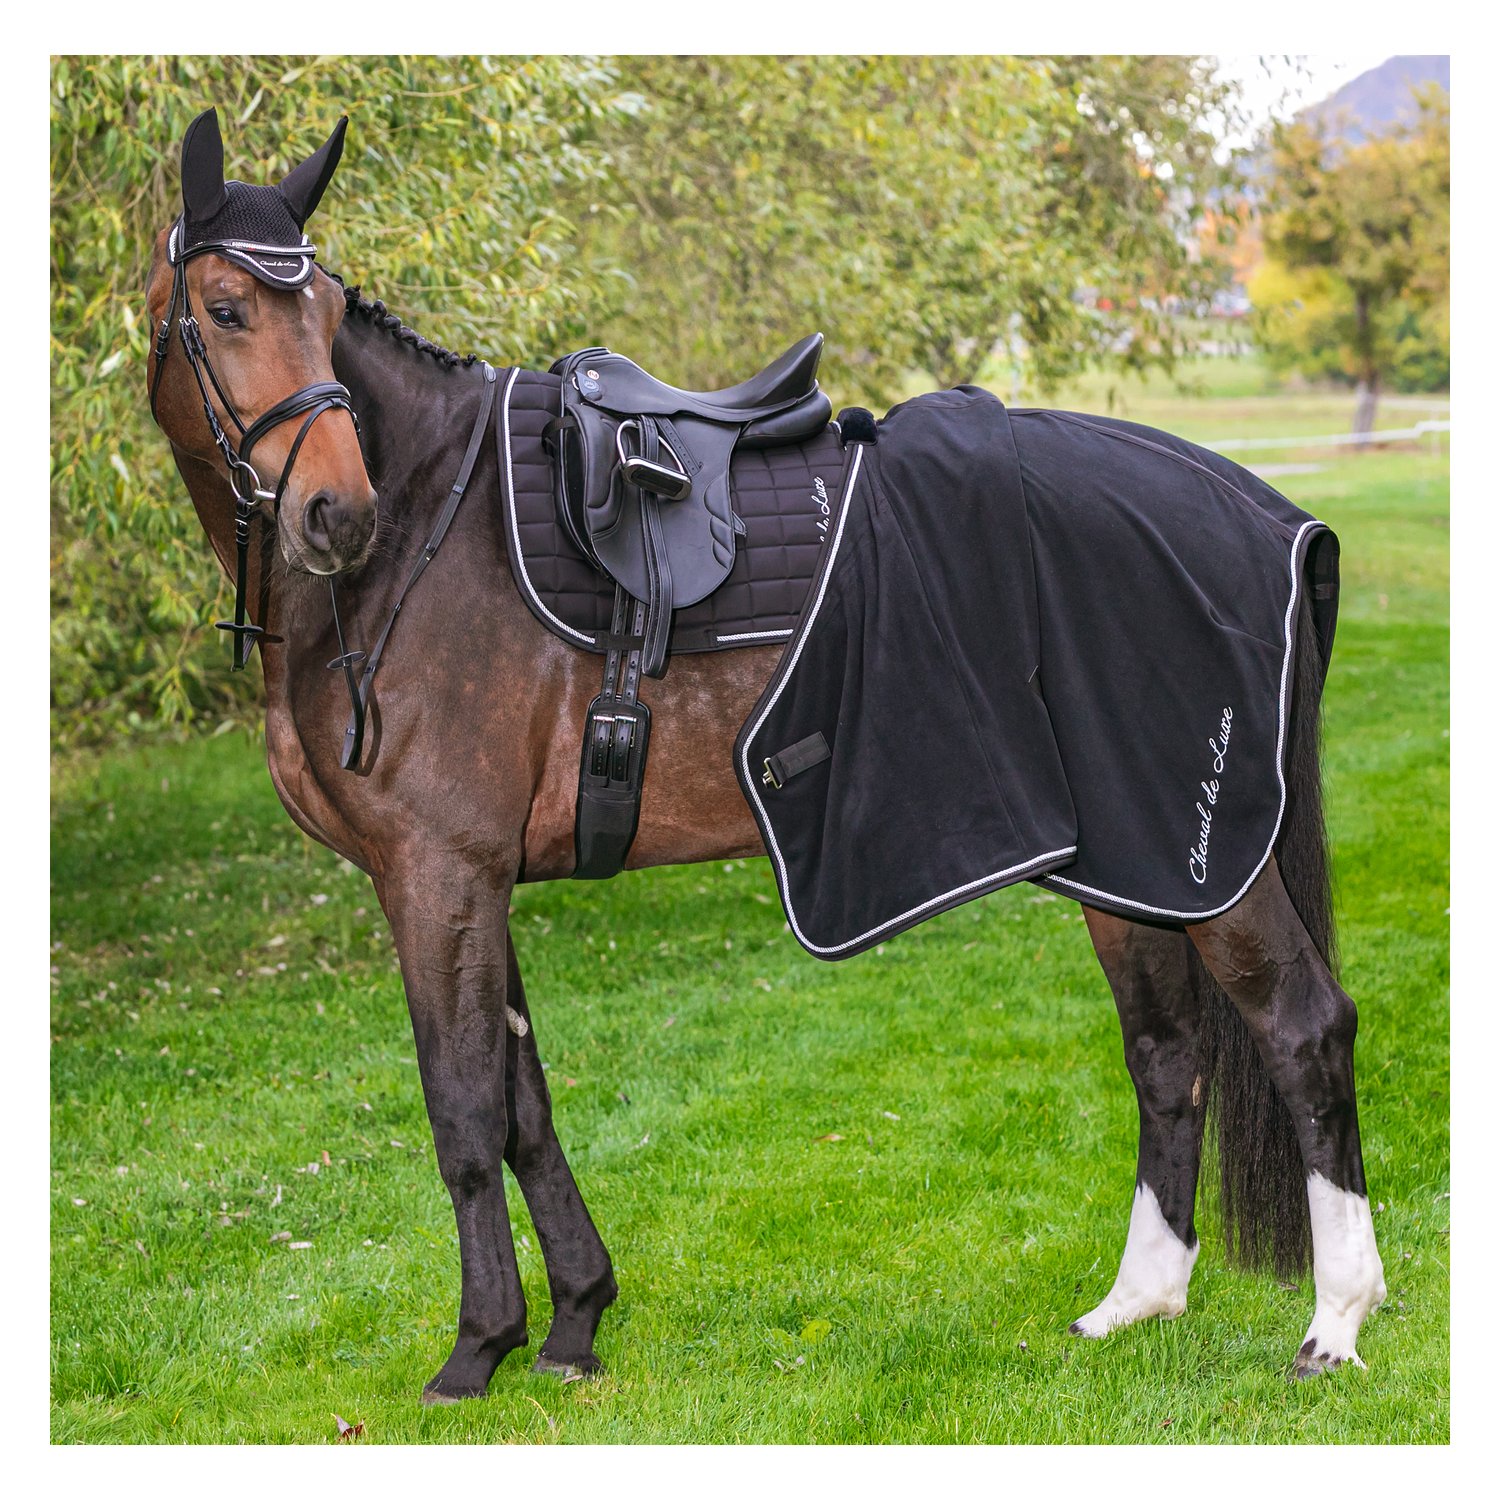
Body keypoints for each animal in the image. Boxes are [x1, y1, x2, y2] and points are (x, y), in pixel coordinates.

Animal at [143, 108, 1386, 1404]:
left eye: (325, 307)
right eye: (226, 307)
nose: (338, 512)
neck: (432, 527)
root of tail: (1265, 512)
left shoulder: (438, 873)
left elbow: (466, 1111)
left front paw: (477, 1348)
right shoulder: (473, 878)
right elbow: (526, 1104)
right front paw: (574, 1323)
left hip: (1203, 864)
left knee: (1304, 1028)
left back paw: (1335, 1324)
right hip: (1127, 868)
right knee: (1166, 1053)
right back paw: (1134, 1304)